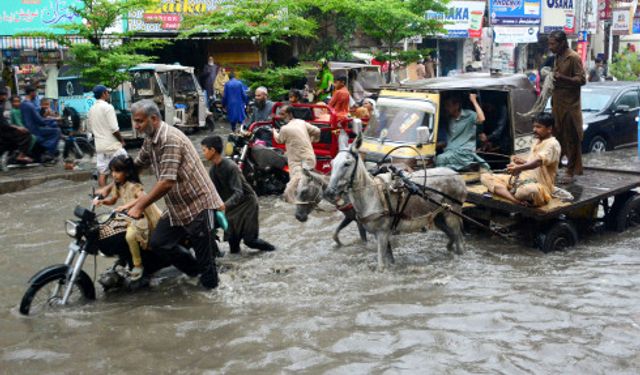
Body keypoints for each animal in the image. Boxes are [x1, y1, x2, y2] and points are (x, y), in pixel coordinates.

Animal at [328, 135, 468, 274]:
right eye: (332, 164)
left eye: (346, 164)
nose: (329, 192)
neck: (372, 195)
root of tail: (457, 174)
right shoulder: (381, 234)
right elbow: (389, 258)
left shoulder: (382, 233)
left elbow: (381, 266)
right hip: (438, 217)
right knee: (452, 236)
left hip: (452, 214)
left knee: (459, 239)